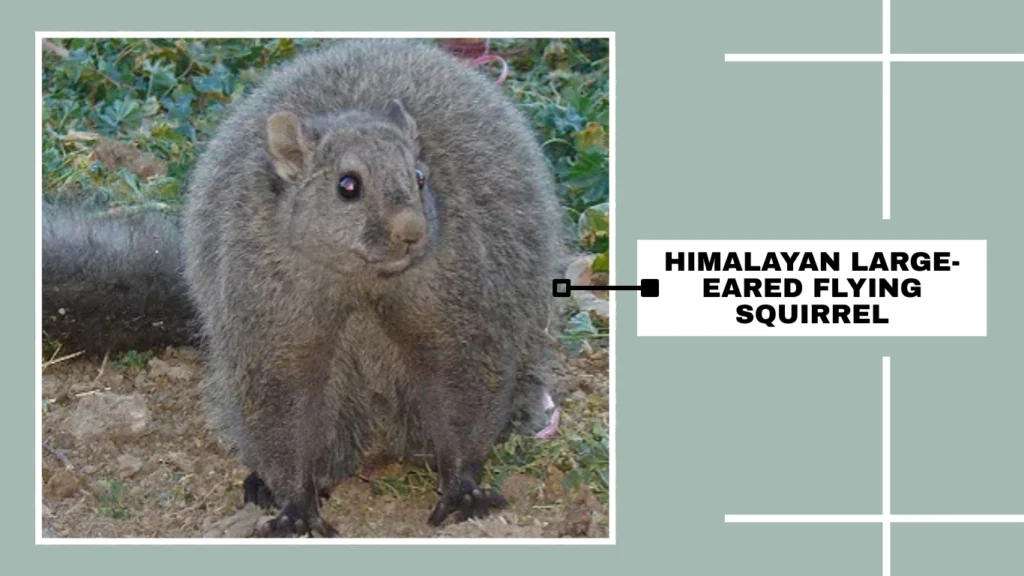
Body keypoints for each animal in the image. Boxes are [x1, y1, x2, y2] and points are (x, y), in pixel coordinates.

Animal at [174, 38, 563, 536]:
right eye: (347, 186)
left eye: (420, 177)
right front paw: (296, 506)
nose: (412, 230)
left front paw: (462, 488)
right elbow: (282, 408)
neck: (362, 285)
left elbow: (461, 385)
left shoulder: (454, 302)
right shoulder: (272, 315)